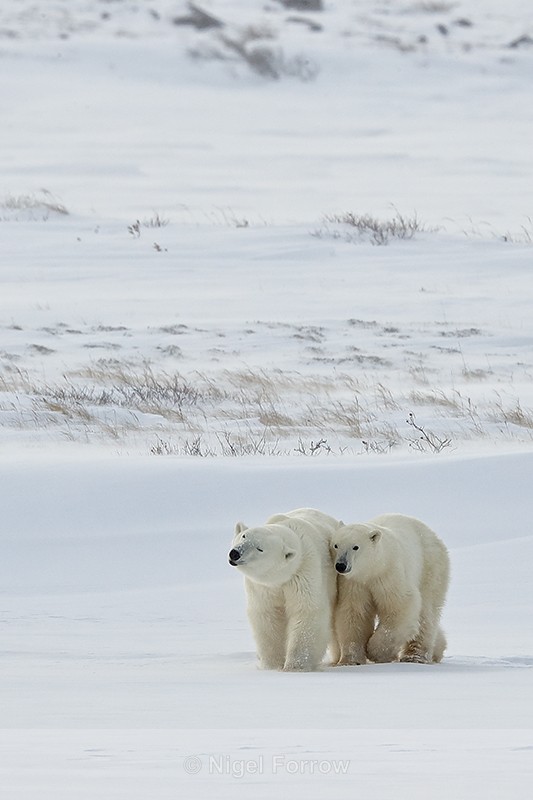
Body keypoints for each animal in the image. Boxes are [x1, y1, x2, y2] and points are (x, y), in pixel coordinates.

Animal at [228, 508, 340, 671]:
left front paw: (295, 666)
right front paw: (272, 665)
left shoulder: (303, 571)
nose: (235, 553)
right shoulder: (262, 587)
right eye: (244, 536)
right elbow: (267, 616)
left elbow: (306, 611)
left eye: (260, 549)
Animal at [331, 513, 450, 665]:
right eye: (336, 545)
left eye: (355, 547)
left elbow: (400, 606)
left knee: (426, 612)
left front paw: (376, 653)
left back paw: (414, 656)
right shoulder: (354, 583)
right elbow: (354, 612)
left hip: (430, 568)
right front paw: (350, 660)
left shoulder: (389, 575)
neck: (372, 570)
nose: (341, 565)